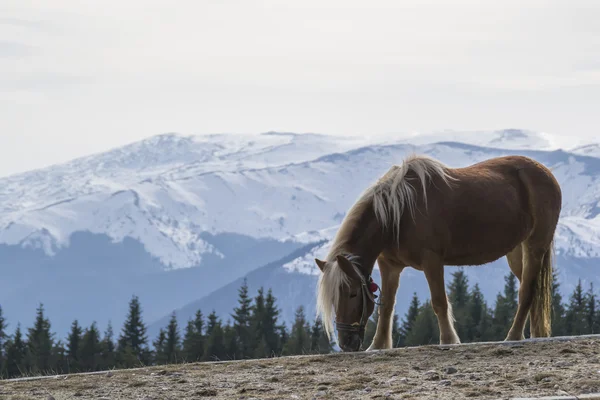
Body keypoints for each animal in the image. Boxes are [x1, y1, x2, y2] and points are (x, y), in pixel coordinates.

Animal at [314, 153, 564, 350]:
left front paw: (448, 340)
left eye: (352, 294)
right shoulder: (389, 266)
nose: (346, 343)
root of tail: (547, 175)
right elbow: (386, 307)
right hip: (516, 253)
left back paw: (513, 336)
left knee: (526, 292)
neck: (398, 214)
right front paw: (377, 345)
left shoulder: (432, 261)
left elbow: (439, 302)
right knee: (533, 290)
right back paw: (536, 335)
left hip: (534, 246)